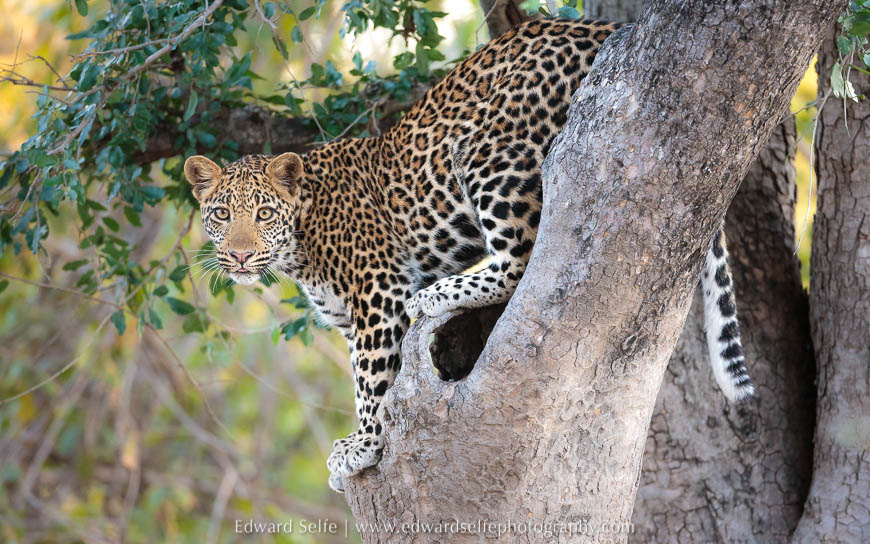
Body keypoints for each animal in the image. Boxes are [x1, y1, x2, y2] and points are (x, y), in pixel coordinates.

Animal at [183, 18, 754, 493]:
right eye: (220, 214)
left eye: (262, 213)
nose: (238, 257)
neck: (300, 242)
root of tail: (600, 26)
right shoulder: (349, 317)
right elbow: (363, 376)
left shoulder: (378, 294)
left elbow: (372, 381)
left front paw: (363, 447)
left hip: (490, 152)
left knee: (517, 262)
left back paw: (437, 295)